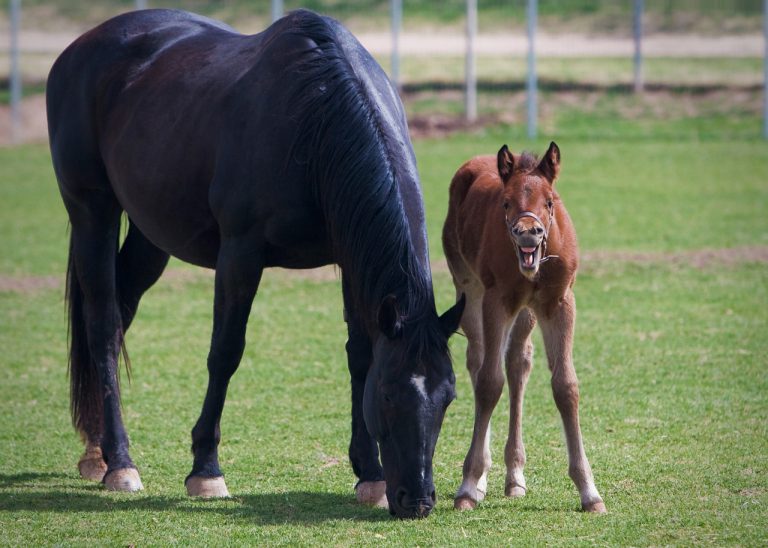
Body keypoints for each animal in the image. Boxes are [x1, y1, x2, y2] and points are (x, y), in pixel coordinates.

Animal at [46, 10, 462, 520]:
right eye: (387, 394)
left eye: (448, 397)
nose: (417, 500)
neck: (314, 118)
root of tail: (79, 48)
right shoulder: (240, 255)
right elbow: (225, 352)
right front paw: (205, 470)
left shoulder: (351, 258)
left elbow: (359, 354)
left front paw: (370, 474)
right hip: (92, 212)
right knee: (104, 325)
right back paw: (120, 463)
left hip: (150, 235)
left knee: (118, 313)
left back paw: (96, 450)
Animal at [444, 142, 608, 512]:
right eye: (506, 202)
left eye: (549, 201)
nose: (529, 233)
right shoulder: (496, 300)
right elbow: (489, 384)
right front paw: (469, 485)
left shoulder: (559, 302)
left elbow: (565, 386)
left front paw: (589, 491)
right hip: (469, 288)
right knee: (478, 361)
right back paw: (482, 478)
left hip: (527, 313)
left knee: (518, 361)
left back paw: (514, 476)